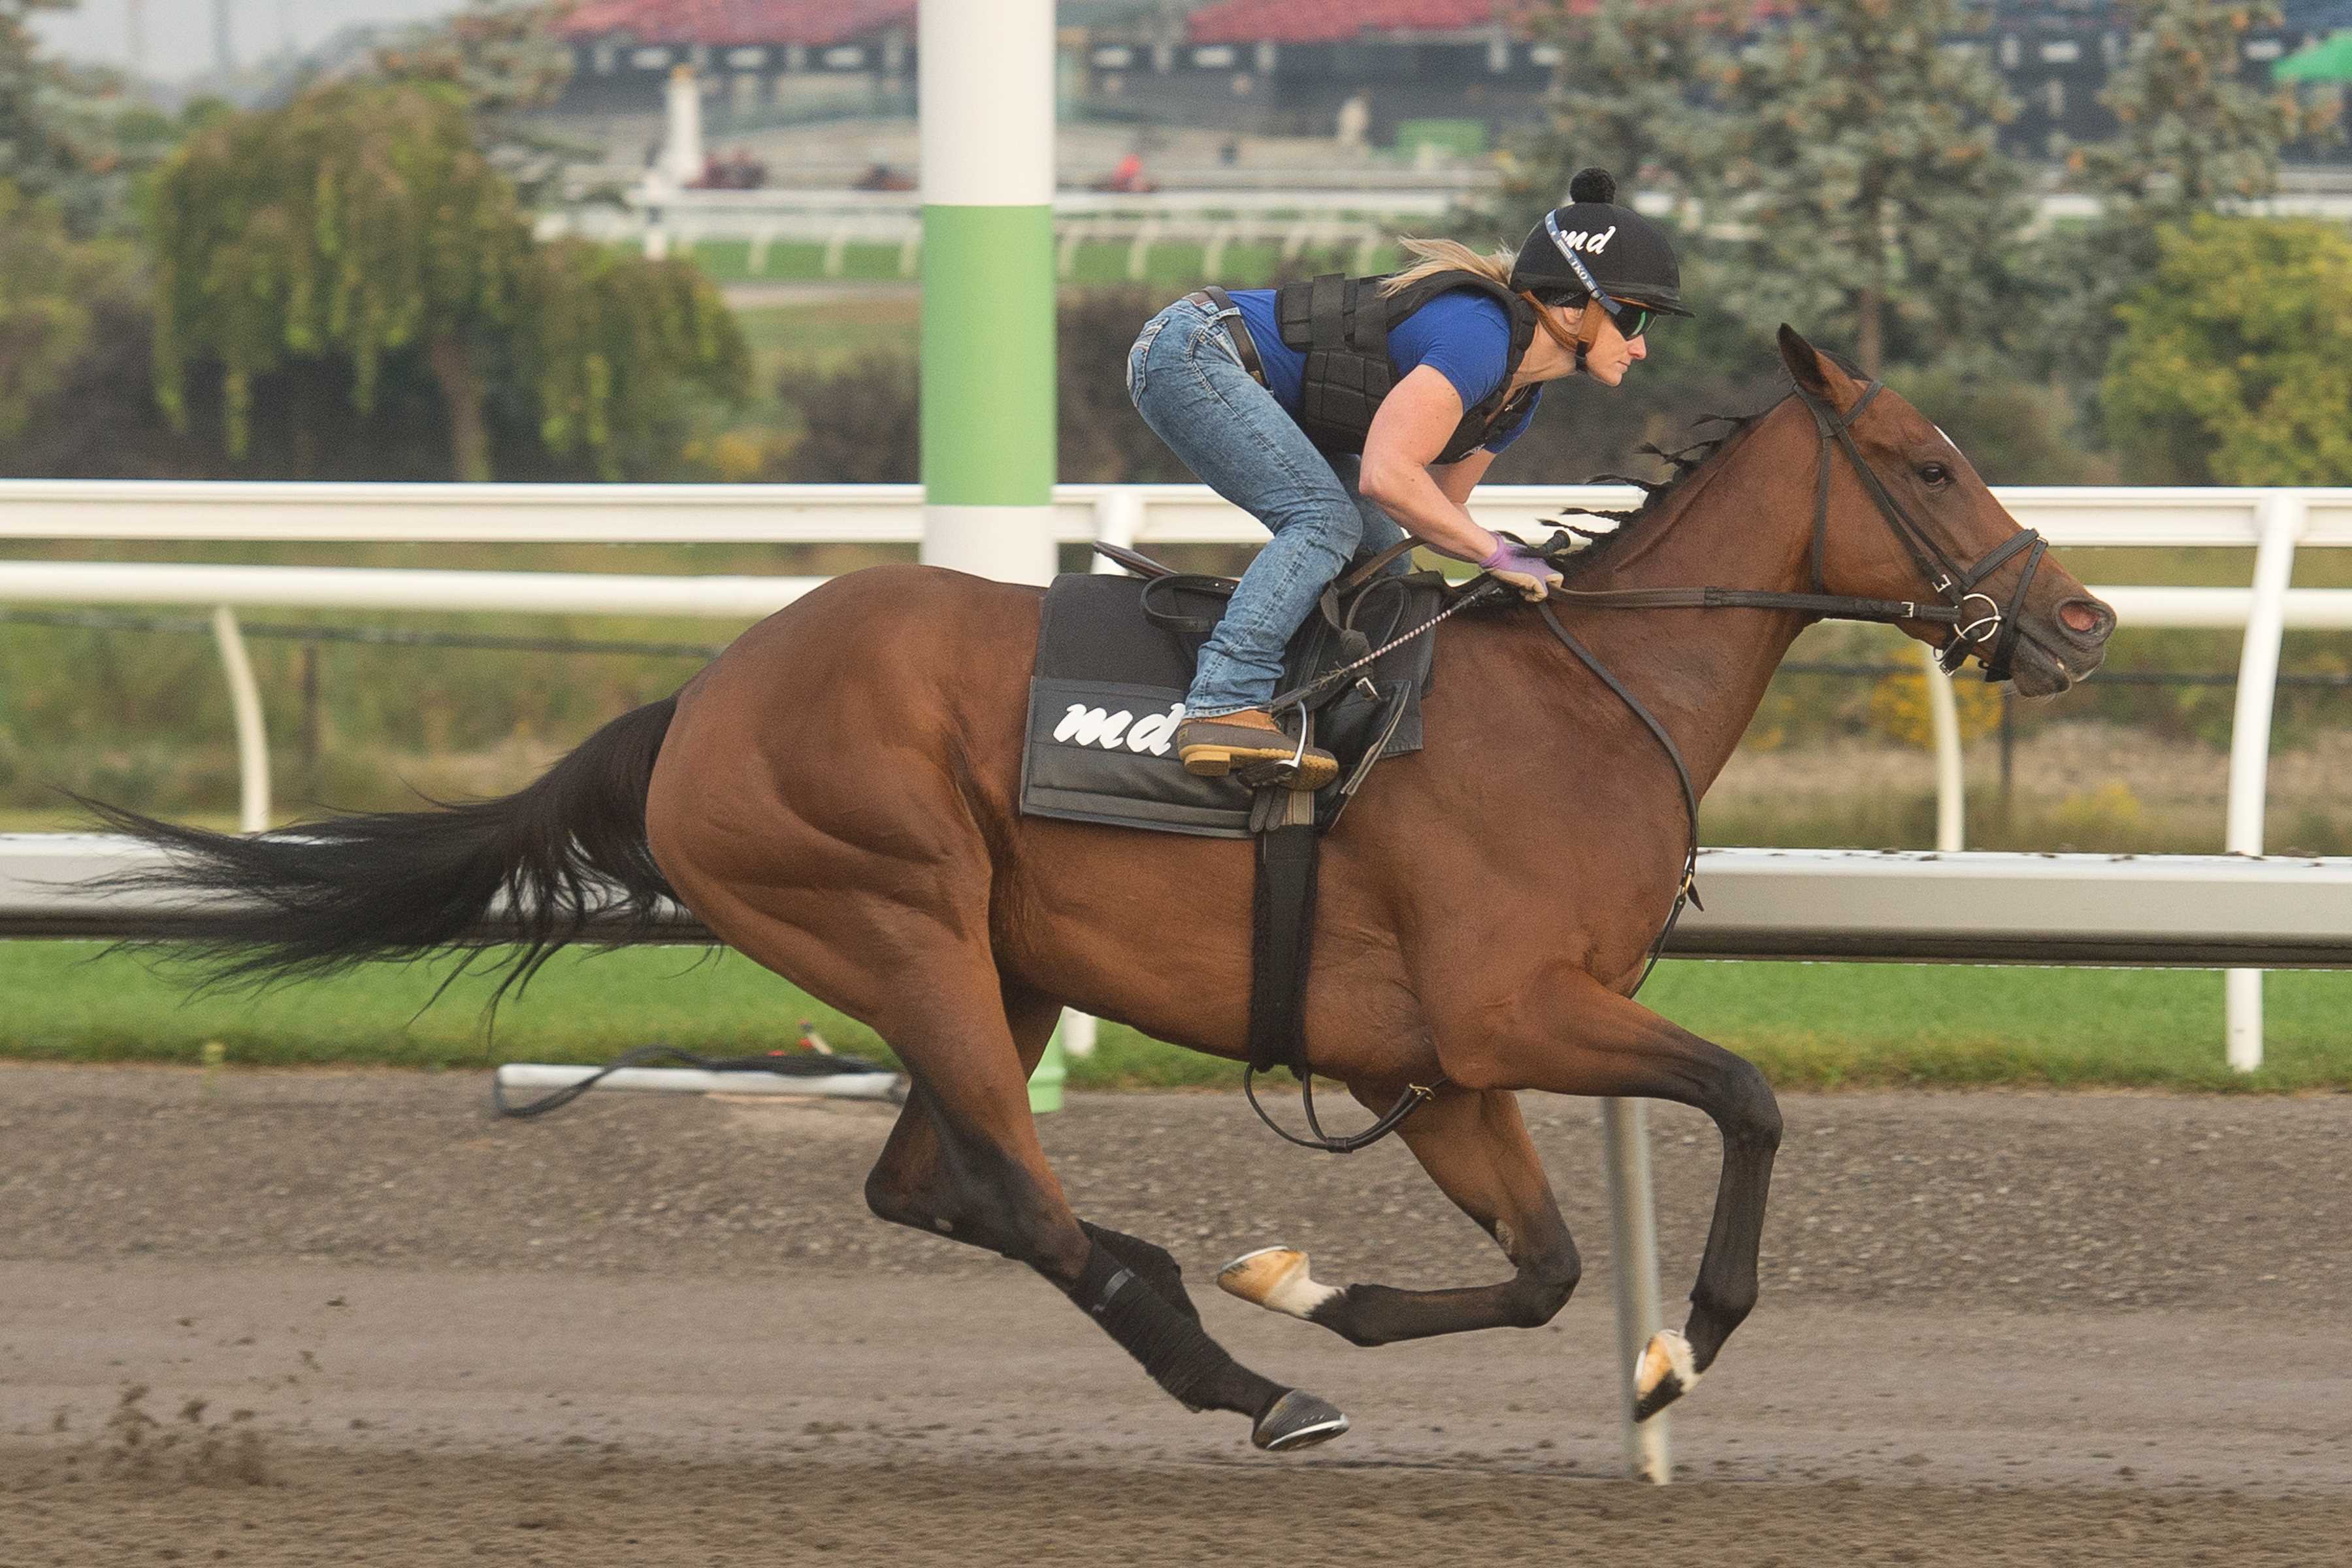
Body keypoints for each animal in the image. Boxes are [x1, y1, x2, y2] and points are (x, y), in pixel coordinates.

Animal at [91, 329, 2117, 1457]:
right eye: (1929, 462)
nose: (2083, 618)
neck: (1574, 700)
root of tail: (701, 698)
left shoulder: (1430, 1067)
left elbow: (1544, 1268)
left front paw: (1325, 1283)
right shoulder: (1509, 1010)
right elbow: (1749, 1099)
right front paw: (1677, 1346)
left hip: (999, 962)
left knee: (932, 1184)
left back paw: (1220, 1316)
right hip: (895, 923)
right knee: (1017, 1194)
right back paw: (1239, 1375)